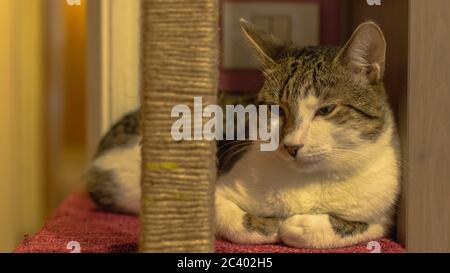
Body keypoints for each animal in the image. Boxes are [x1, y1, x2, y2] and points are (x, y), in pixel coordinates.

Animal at [88, 20, 400, 248]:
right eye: (277, 109)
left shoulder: (384, 211)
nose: (292, 146)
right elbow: (220, 212)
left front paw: (300, 225)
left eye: (326, 109)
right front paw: (265, 226)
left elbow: (363, 226)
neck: (306, 181)